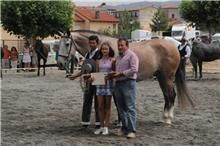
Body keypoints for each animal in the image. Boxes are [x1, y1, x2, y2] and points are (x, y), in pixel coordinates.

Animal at [57, 29, 194, 124]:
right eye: (58, 44)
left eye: (67, 43)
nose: (60, 63)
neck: (105, 47)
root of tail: (174, 47)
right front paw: (118, 121)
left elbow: (117, 102)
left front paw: (120, 121)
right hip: (161, 77)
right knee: (167, 95)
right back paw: (164, 118)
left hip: (167, 77)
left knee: (171, 95)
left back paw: (168, 119)